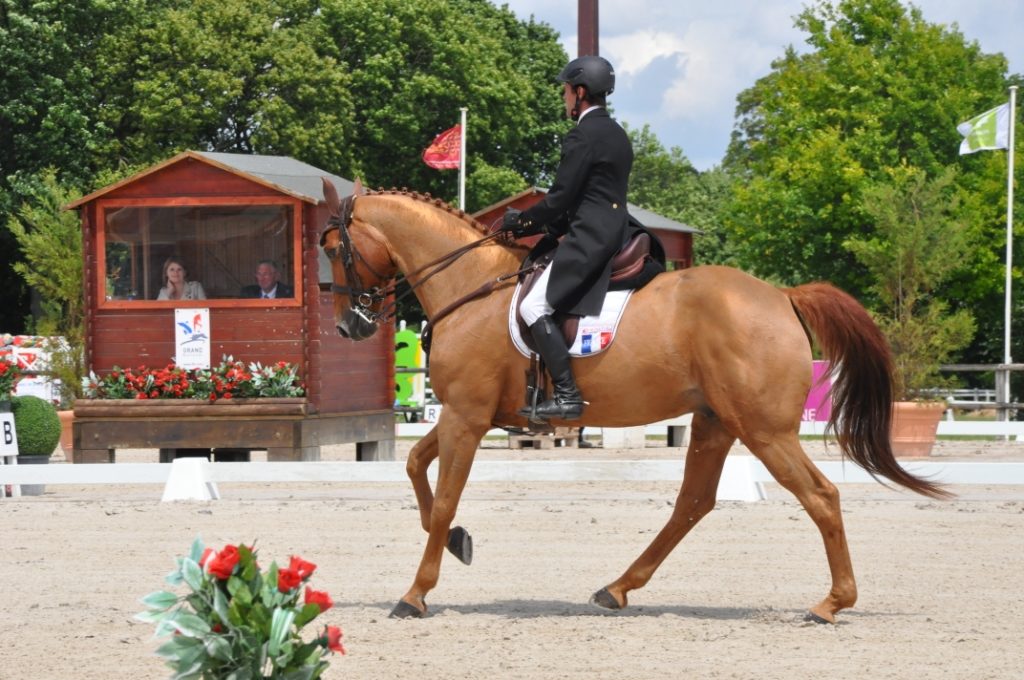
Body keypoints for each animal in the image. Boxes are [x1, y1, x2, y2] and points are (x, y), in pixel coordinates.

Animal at [319, 179, 942, 622]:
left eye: (331, 249)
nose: (349, 326)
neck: (469, 285)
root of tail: (782, 296)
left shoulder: (466, 416)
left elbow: (444, 495)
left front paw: (415, 593)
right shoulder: (464, 414)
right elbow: (414, 465)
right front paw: (455, 543)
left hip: (765, 430)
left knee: (820, 496)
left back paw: (830, 604)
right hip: (717, 422)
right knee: (693, 504)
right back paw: (617, 589)